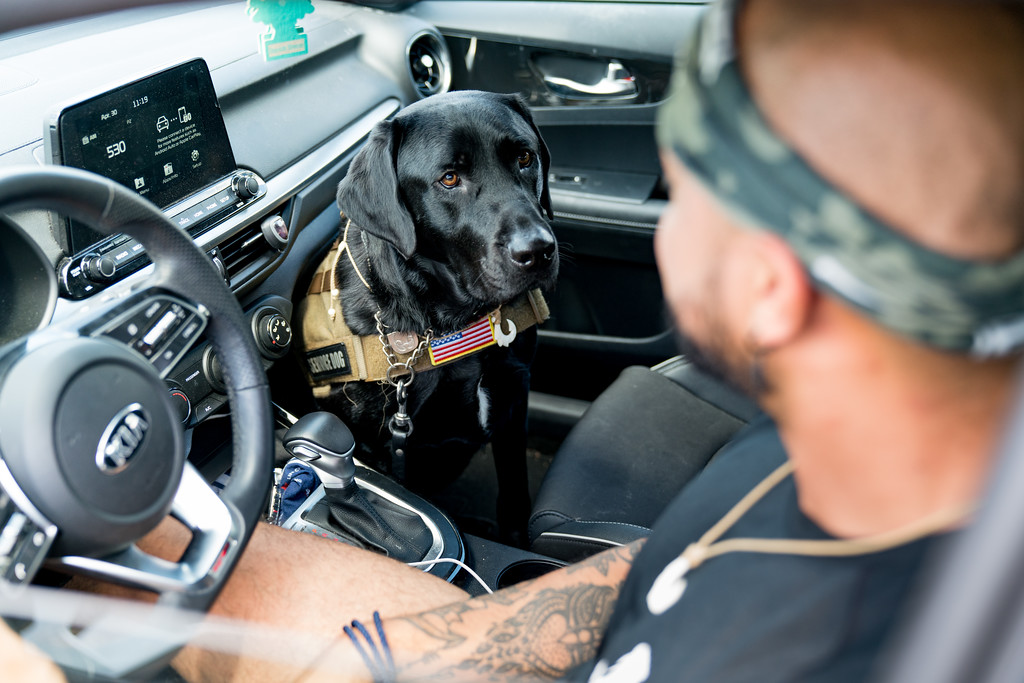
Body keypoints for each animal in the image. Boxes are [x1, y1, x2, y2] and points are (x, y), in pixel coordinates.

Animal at [305, 90, 557, 540]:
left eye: (525, 157)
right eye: (450, 179)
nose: (538, 250)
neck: (458, 321)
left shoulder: (514, 397)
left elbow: (514, 491)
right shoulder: (380, 445)